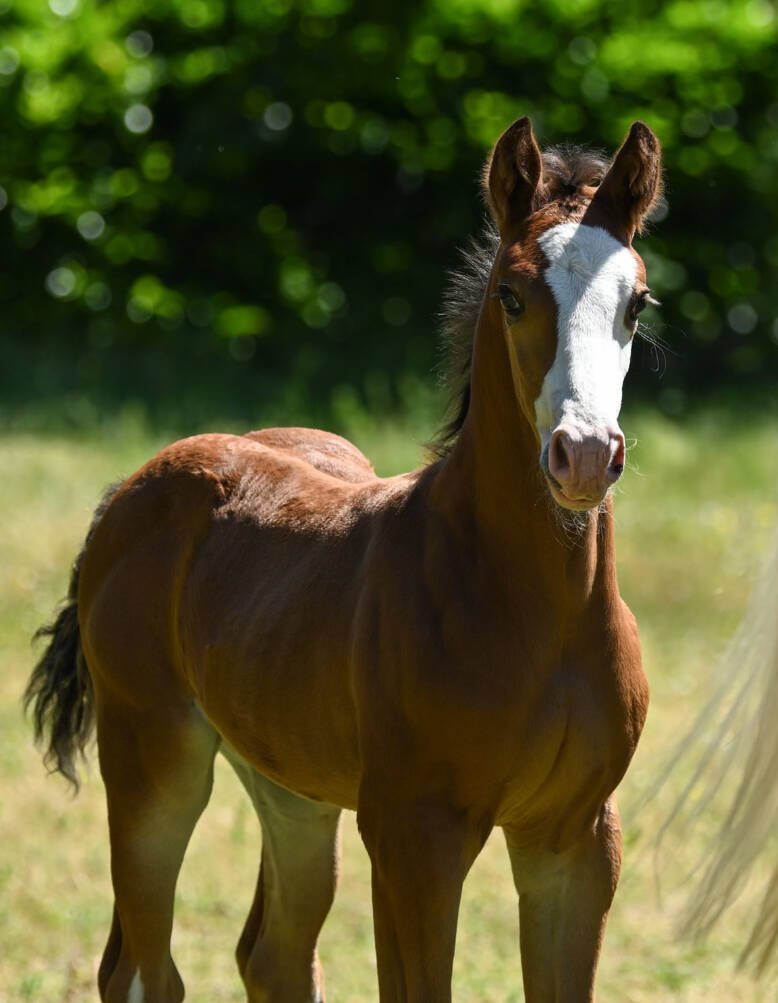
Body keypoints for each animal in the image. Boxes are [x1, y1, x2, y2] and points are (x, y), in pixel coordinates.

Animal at [28, 119, 661, 1003]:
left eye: (636, 304)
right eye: (511, 295)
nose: (585, 456)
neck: (537, 610)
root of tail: (130, 487)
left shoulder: (576, 839)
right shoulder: (412, 834)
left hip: (289, 783)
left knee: (273, 954)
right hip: (154, 755)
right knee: (142, 969)